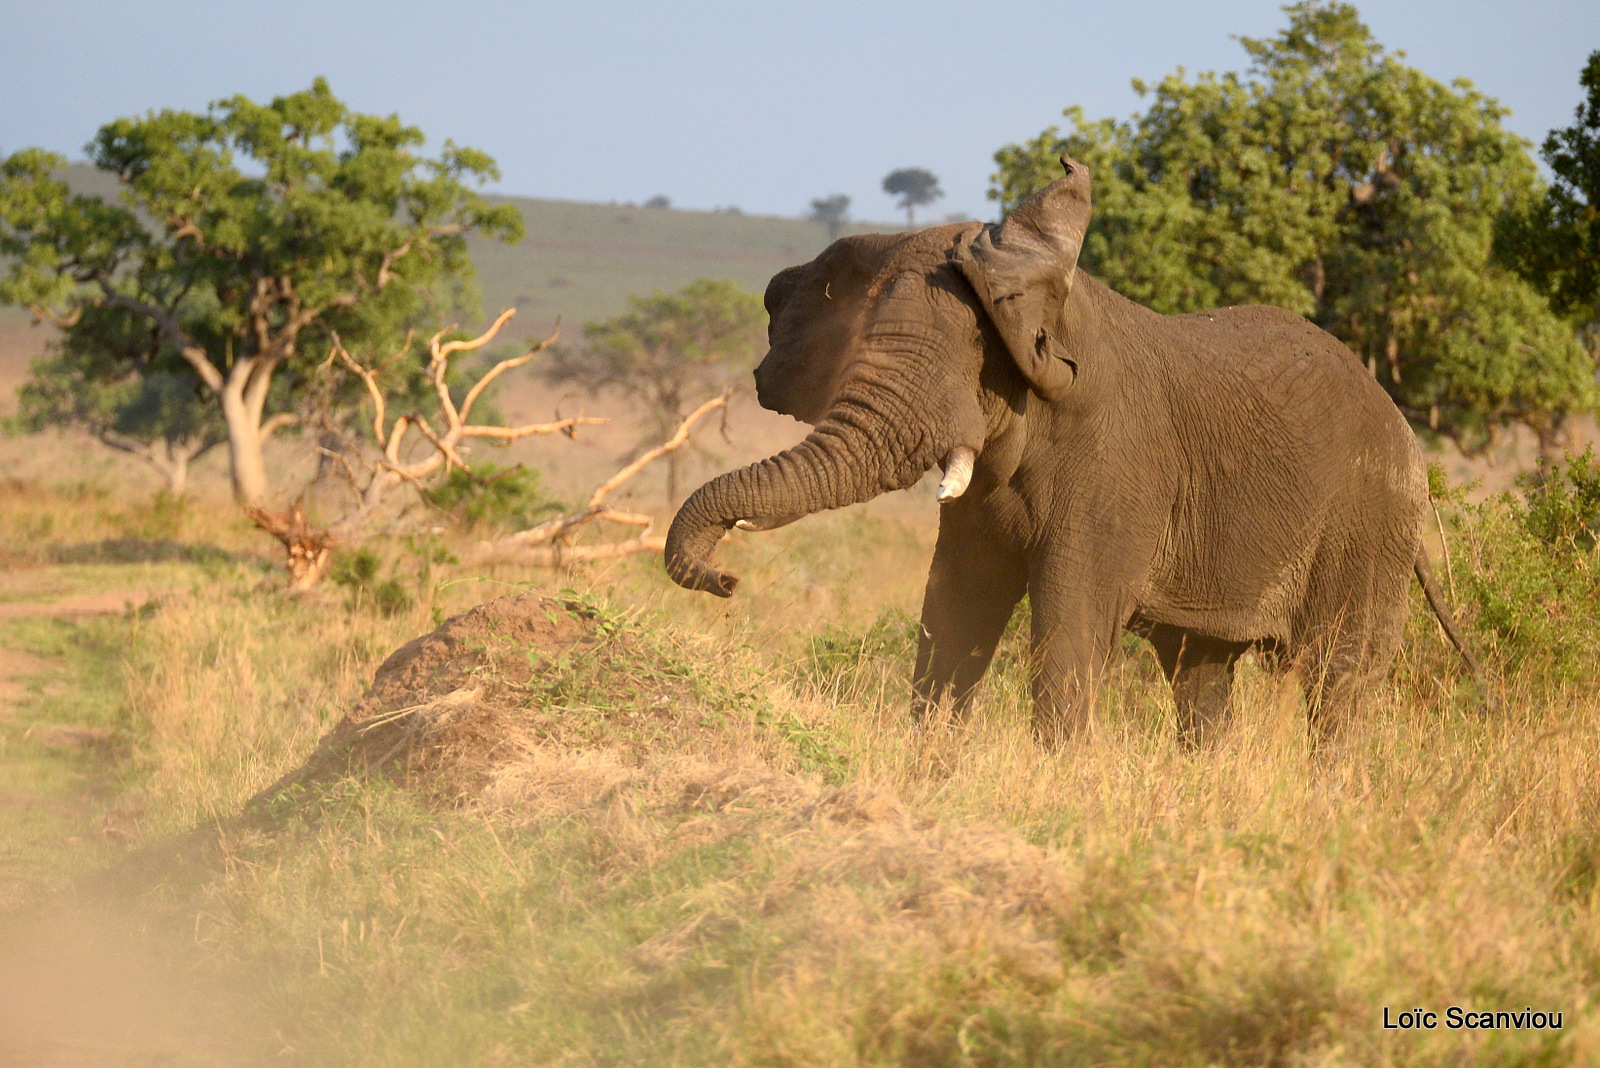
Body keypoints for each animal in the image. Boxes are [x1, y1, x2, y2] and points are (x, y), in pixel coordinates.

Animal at [659, 156, 1472, 741]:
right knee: (1200, 675)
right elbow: (955, 610)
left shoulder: (1115, 464)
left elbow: (1070, 629)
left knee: (1339, 683)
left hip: (1371, 523)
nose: (724, 579)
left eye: (971, 359)